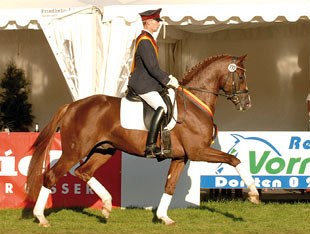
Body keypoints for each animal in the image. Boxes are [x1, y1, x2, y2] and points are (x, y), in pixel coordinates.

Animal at [26, 54, 260, 227]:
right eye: (240, 77)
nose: (247, 103)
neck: (194, 103)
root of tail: (72, 106)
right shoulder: (198, 151)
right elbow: (234, 160)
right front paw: (253, 193)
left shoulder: (181, 157)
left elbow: (170, 185)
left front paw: (164, 217)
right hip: (75, 151)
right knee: (52, 175)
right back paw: (41, 218)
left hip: (104, 150)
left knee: (84, 172)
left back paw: (107, 206)